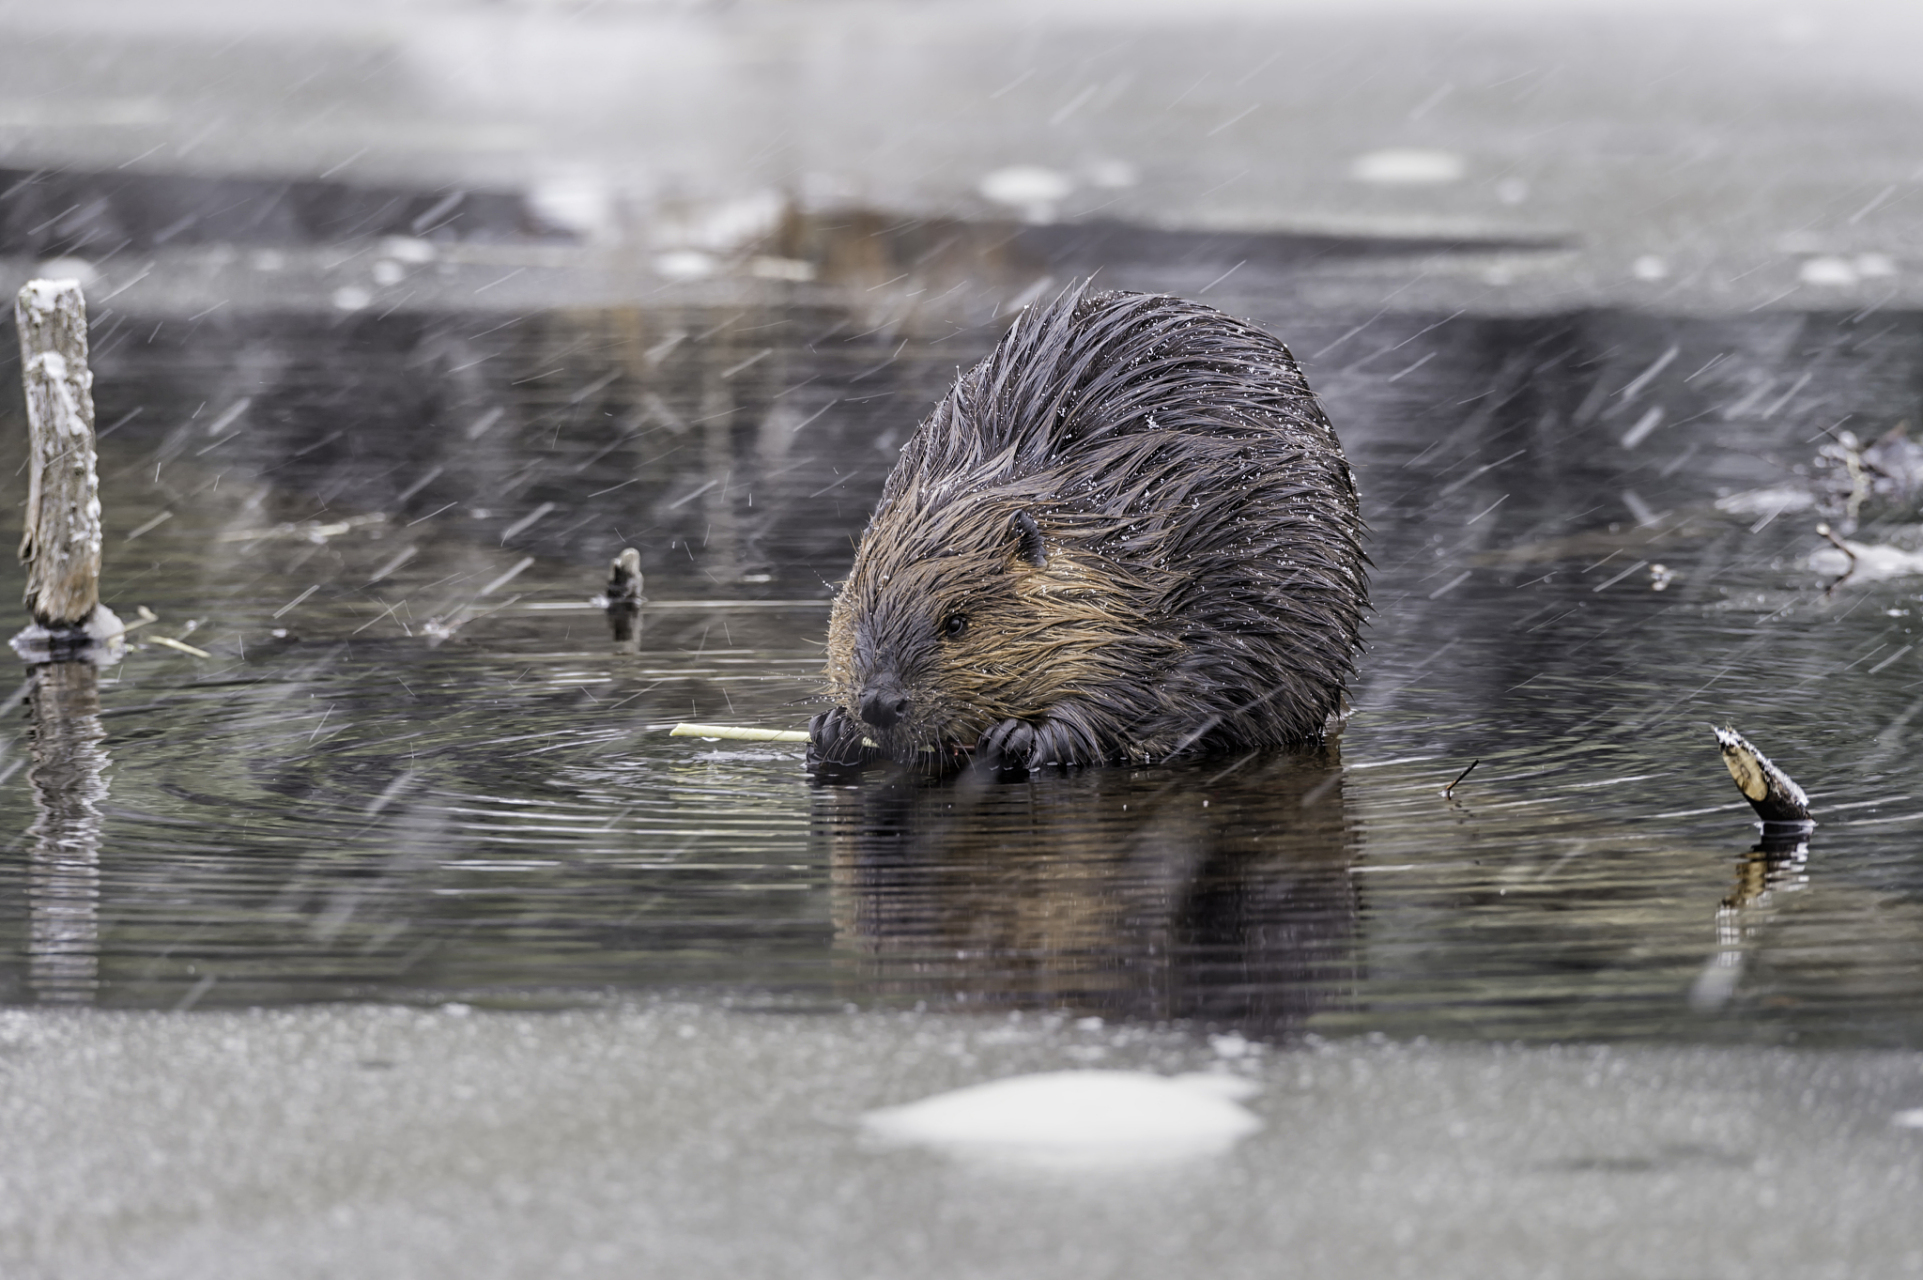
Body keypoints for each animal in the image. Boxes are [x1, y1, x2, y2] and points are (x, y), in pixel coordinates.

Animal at [807, 284, 1369, 772]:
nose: (881, 702)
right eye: (859, 619)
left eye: (957, 623)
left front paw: (1019, 736)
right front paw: (832, 727)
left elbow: (1136, 691)